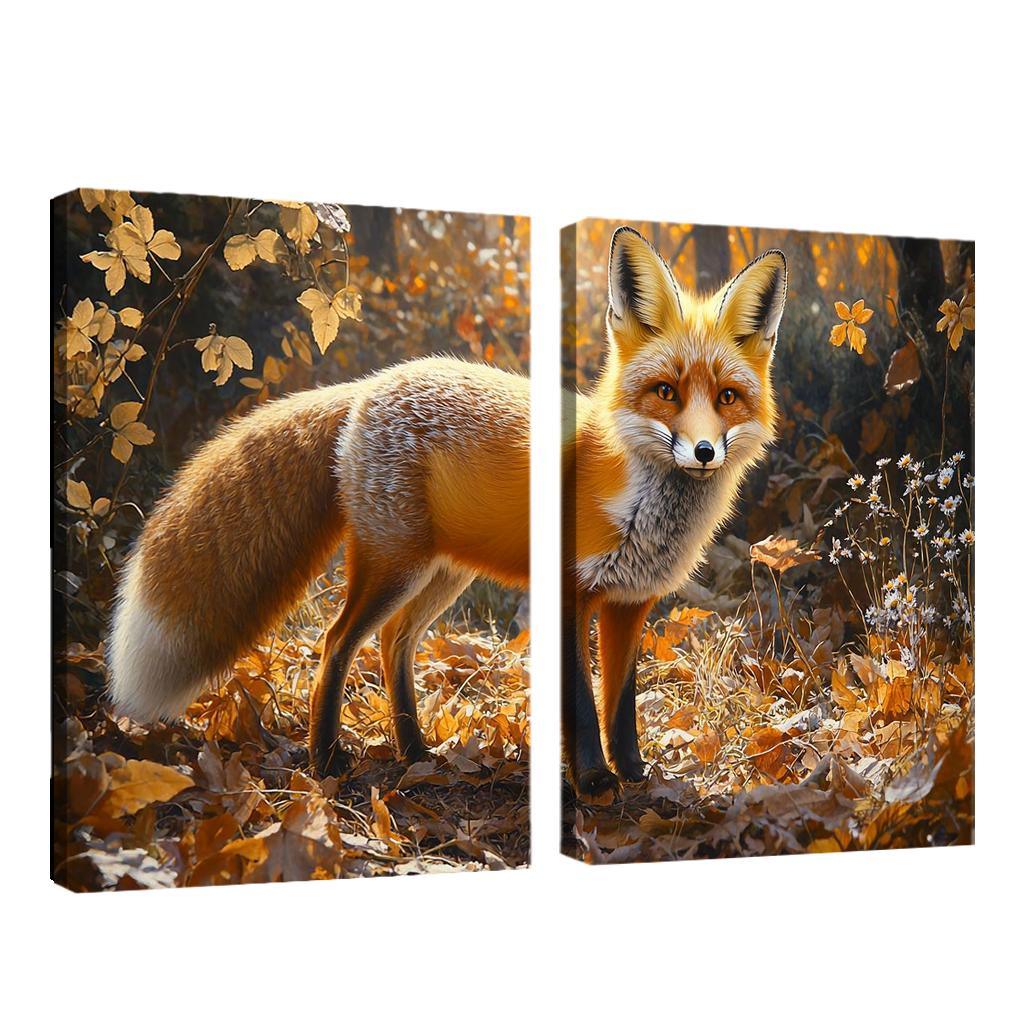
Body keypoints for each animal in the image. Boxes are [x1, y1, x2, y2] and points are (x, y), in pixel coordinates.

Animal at [108, 356, 530, 777]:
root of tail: (371, 383)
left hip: (442, 572)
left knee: (393, 640)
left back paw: (412, 751)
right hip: (400, 567)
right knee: (338, 641)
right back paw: (327, 758)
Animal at [563, 226, 786, 800]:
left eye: (727, 397)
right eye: (666, 391)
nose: (705, 452)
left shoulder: (630, 599)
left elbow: (620, 699)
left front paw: (633, 772)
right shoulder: (569, 595)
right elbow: (580, 700)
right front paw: (592, 779)